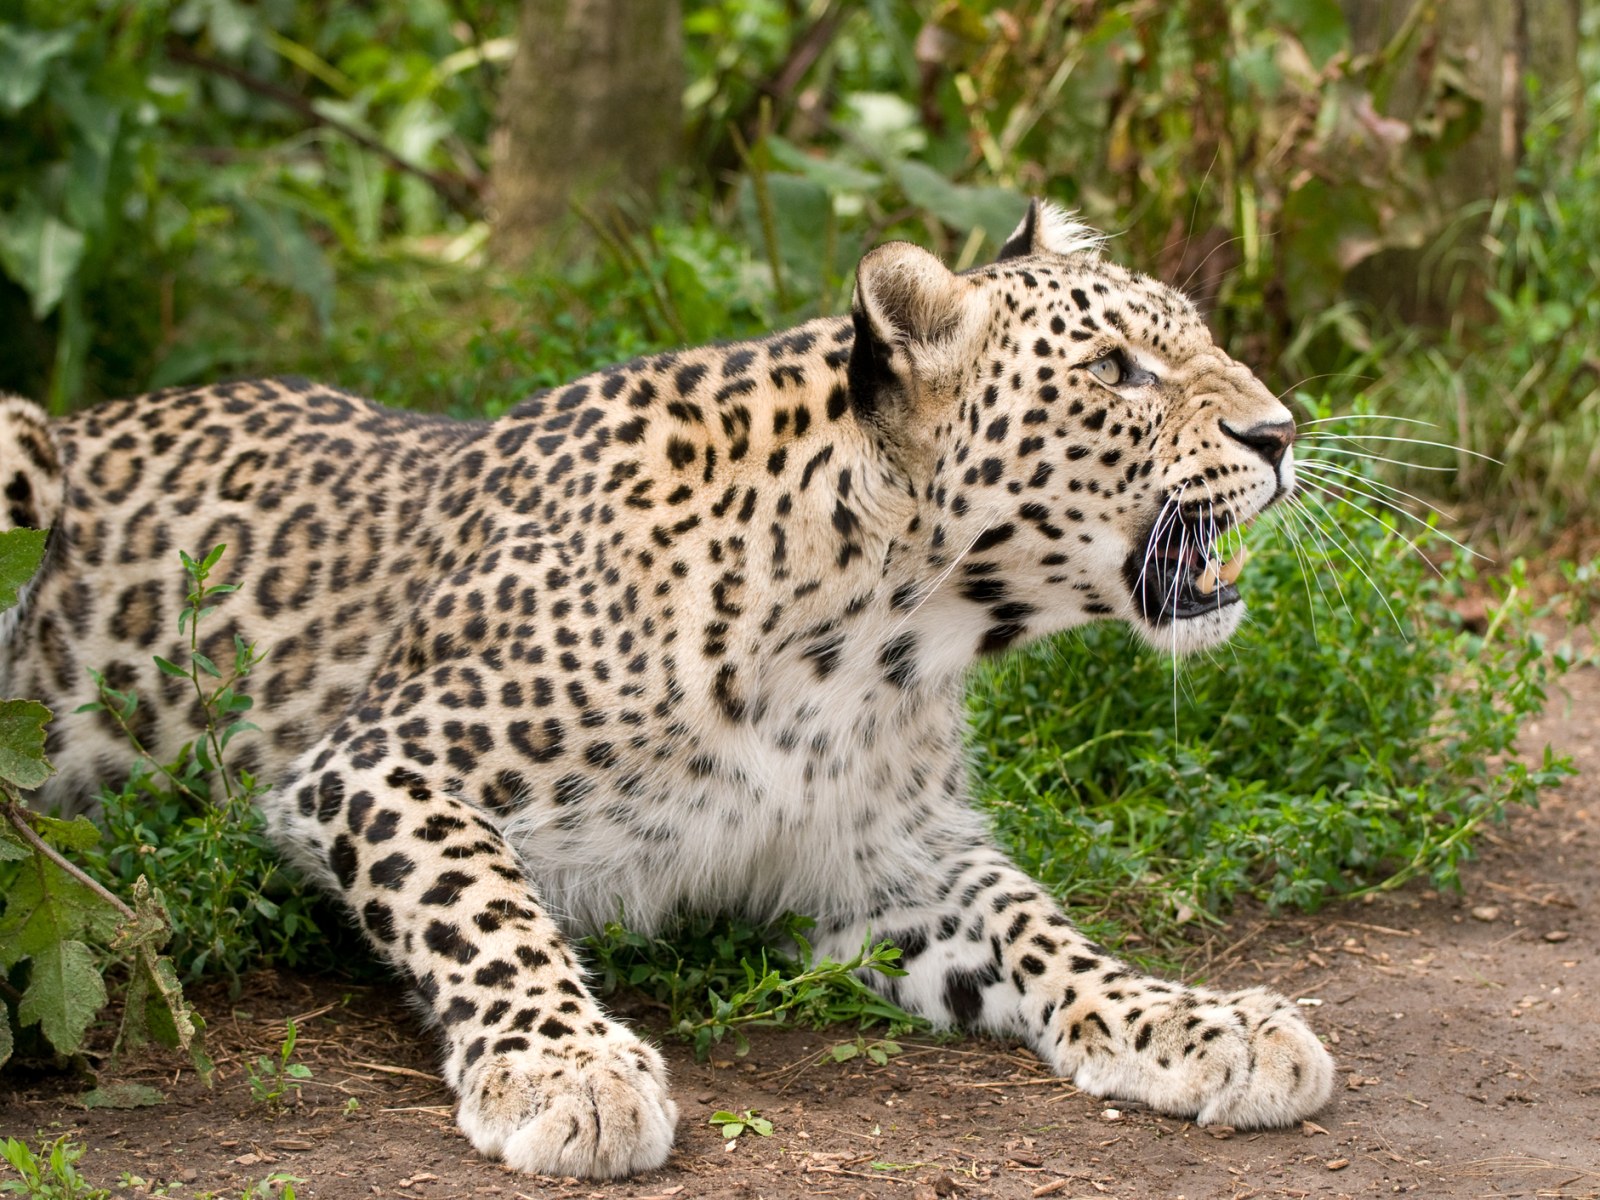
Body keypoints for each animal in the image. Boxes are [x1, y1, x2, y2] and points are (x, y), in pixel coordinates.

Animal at [1, 200, 1334, 1177]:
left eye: (1194, 342)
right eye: (1118, 371)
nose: (1282, 430)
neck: (879, 644)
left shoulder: (878, 862)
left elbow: (1037, 926)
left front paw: (1196, 1020)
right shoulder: (376, 760)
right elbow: (482, 904)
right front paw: (567, 1069)